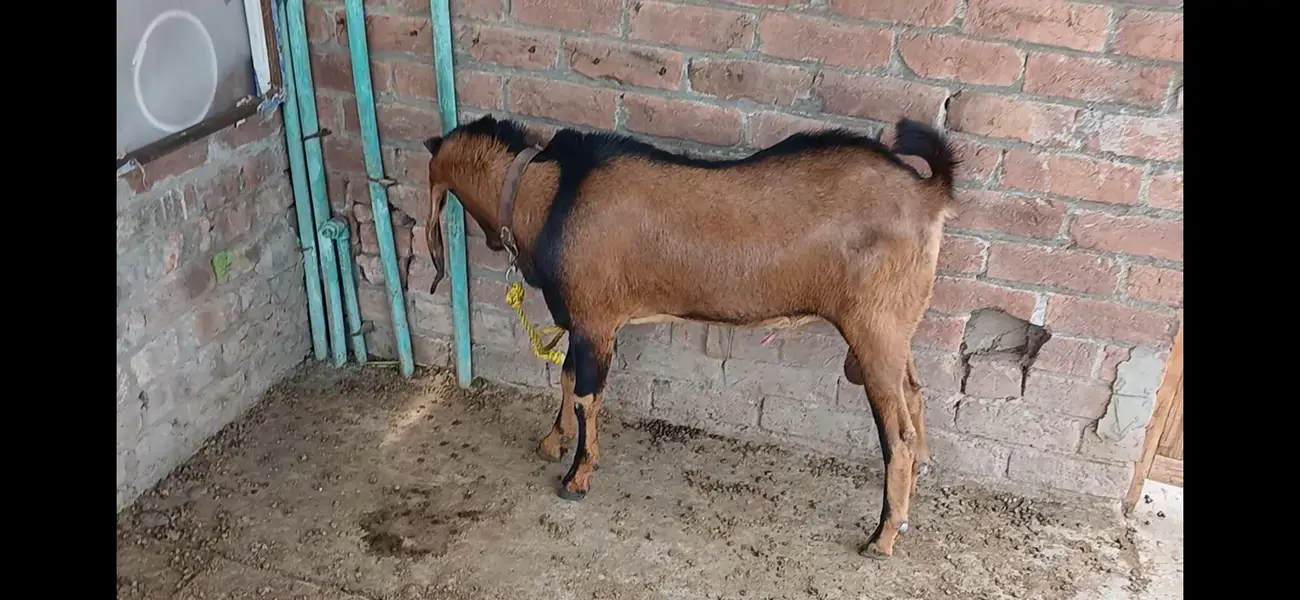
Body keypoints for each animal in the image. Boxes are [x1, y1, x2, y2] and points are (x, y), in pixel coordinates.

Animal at [421, 114, 958, 559]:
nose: (492, 244)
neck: (552, 192)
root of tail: (929, 192)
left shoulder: (594, 318)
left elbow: (586, 393)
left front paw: (576, 477)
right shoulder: (582, 321)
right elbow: (568, 378)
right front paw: (553, 440)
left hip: (873, 327)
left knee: (898, 434)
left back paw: (882, 537)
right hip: (895, 326)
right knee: (915, 393)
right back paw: (914, 491)